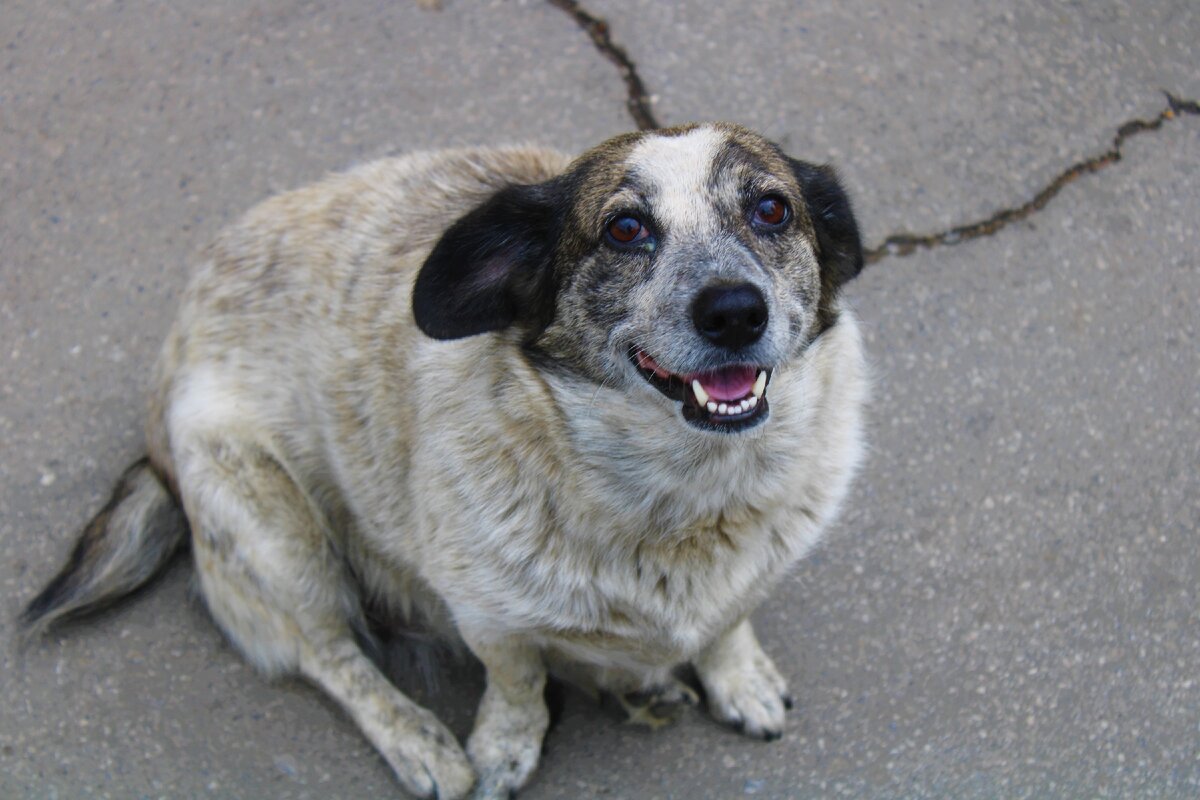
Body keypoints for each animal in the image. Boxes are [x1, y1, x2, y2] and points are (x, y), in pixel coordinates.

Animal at [23, 122, 868, 796]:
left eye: (772, 210)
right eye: (625, 228)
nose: (734, 311)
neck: (684, 493)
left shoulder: (748, 571)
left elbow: (730, 617)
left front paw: (737, 675)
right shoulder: (487, 616)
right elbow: (517, 680)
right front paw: (502, 748)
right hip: (275, 530)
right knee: (329, 654)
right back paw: (419, 741)